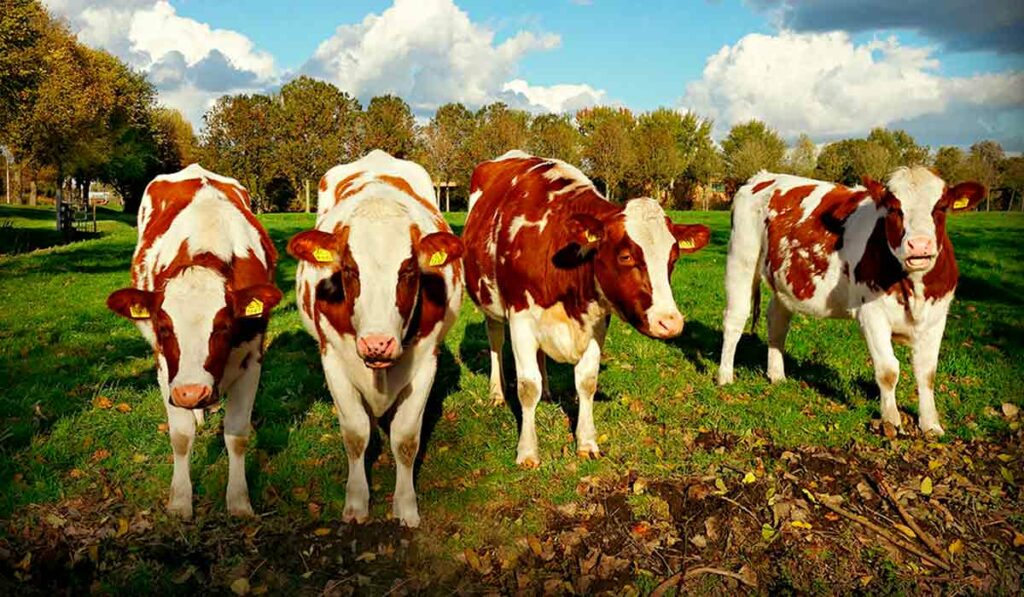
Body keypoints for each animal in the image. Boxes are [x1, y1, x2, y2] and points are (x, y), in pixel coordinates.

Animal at [105, 163, 282, 518]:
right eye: (163, 328)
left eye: (224, 326)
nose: (190, 393)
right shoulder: (165, 369)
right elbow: (181, 436)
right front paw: (180, 501)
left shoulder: (252, 360)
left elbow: (237, 434)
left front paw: (239, 501)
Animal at [288, 149, 464, 528]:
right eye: (350, 270)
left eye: (408, 270)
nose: (377, 344)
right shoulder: (332, 359)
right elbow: (355, 434)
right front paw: (356, 501)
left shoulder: (426, 361)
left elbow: (406, 439)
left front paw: (406, 505)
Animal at [466, 149, 712, 466]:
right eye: (625, 256)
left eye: (673, 258)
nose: (670, 322)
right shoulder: (520, 317)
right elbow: (527, 387)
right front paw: (528, 451)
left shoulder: (596, 322)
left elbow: (586, 382)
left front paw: (586, 441)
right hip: (490, 303)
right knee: (496, 342)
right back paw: (497, 393)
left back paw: (548, 393)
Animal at [716, 165, 987, 436]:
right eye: (894, 208)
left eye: (941, 206)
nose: (919, 245)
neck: (914, 287)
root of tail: (762, 177)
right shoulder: (872, 313)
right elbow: (888, 370)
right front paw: (891, 421)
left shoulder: (937, 317)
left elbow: (927, 373)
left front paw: (931, 425)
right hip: (741, 259)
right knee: (734, 321)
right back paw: (725, 376)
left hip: (785, 281)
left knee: (777, 322)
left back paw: (777, 375)